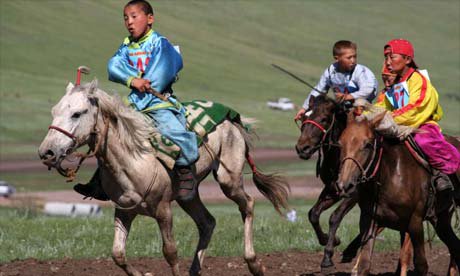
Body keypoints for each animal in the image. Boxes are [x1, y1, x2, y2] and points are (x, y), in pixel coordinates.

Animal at [38, 77, 288, 276]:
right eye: (54, 111)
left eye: (76, 113)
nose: (46, 152)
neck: (134, 159)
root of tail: (231, 118)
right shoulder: (124, 210)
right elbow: (118, 254)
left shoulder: (163, 210)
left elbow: (170, 252)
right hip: (188, 196)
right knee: (207, 222)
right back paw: (195, 270)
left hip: (229, 181)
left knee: (248, 204)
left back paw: (255, 264)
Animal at [334, 111, 460, 274]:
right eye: (340, 144)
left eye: (368, 144)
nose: (344, 185)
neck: (390, 175)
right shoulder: (369, 220)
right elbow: (364, 265)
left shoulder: (415, 222)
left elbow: (420, 264)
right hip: (441, 219)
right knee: (455, 246)